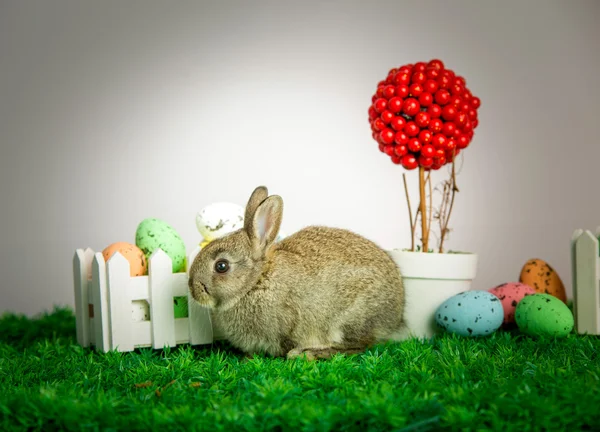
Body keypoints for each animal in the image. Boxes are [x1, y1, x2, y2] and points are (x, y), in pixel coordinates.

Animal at [188, 184, 406, 360]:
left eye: (221, 266)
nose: (193, 289)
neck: (256, 281)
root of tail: (397, 313)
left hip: (349, 319)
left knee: (359, 346)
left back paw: (307, 354)